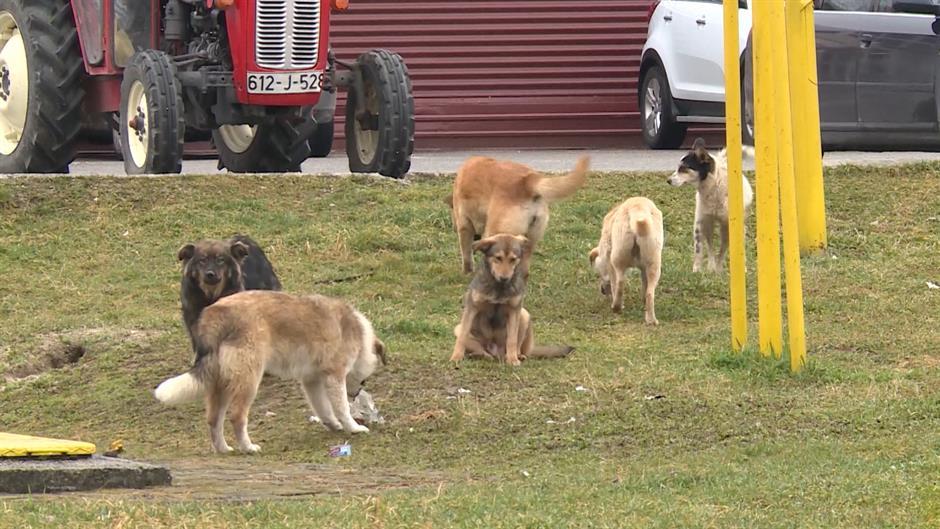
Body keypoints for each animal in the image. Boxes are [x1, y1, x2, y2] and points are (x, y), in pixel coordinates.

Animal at [156, 288, 388, 454]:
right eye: (364, 381)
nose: (356, 394)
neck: (358, 333)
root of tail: (216, 317)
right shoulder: (334, 376)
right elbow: (341, 408)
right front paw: (353, 428)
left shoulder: (311, 381)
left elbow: (322, 408)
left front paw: (333, 425)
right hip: (248, 380)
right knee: (237, 416)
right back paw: (248, 448)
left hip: (221, 383)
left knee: (214, 419)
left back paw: (223, 449)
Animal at [446, 154, 588, 272]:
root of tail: (528, 181)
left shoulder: (464, 226)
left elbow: (466, 256)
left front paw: (467, 273)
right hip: (530, 241)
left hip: (497, 235)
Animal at [450, 233, 572, 366]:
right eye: (498, 258)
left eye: (513, 259)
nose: (504, 278)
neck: (499, 288)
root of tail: (495, 352)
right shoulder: (472, 308)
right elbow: (462, 337)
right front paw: (456, 357)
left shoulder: (514, 310)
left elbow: (512, 339)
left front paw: (513, 360)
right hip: (459, 329)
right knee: (481, 350)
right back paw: (478, 355)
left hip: (524, 315)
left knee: (516, 347)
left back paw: (516, 356)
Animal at [592, 196, 664, 324]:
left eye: (598, 272)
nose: (602, 291)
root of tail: (637, 211)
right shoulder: (644, 268)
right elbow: (645, 287)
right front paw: (643, 302)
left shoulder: (609, 263)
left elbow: (613, 283)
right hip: (654, 262)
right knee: (650, 293)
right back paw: (651, 320)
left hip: (617, 258)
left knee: (620, 282)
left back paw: (616, 307)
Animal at [668, 138, 756, 272]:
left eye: (683, 168)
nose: (668, 180)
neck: (714, 186)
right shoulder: (700, 222)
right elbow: (699, 249)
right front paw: (696, 270)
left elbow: (731, 250)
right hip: (709, 225)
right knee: (711, 247)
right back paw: (712, 267)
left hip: (725, 229)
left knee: (722, 249)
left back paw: (718, 268)